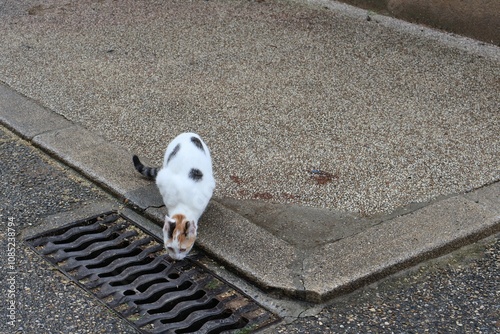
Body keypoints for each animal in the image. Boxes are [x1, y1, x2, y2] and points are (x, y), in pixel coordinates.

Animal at [133, 132, 215, 260]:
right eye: (170, 248)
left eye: (183, 249)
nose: (176, 258)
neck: (183, 206)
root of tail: (189, 133)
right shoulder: (163, 181)